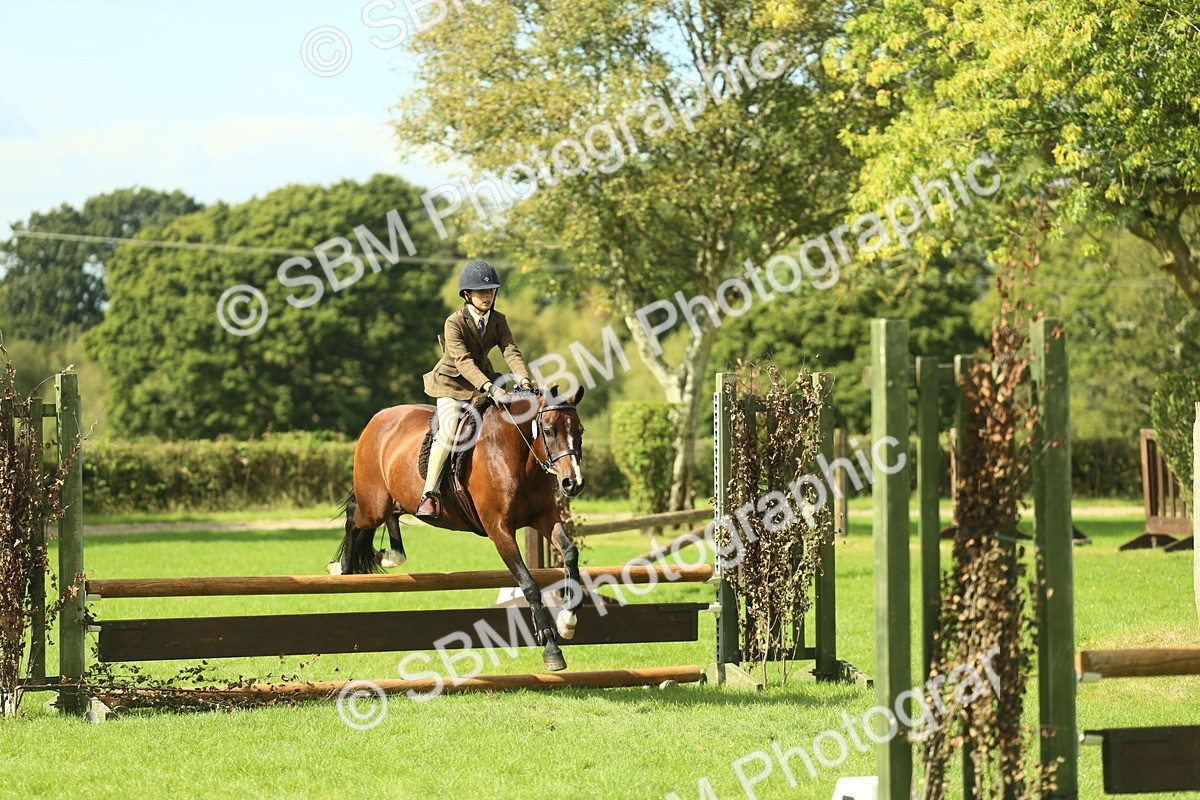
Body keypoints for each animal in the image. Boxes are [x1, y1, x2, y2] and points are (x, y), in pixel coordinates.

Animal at [330, 386, 586, 671]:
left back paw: (392, 555)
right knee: (353, 517)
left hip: (393, 501)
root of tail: (377, 419)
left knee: (392, 515)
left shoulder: (544, 517)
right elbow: (528, 583)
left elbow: (570, 554)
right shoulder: (499, 529)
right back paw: (342, 569)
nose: (573, 483)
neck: (517, 452)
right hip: (373, 506)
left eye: (580, 431)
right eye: (549, 430)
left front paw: (567, 622)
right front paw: (550, 647)